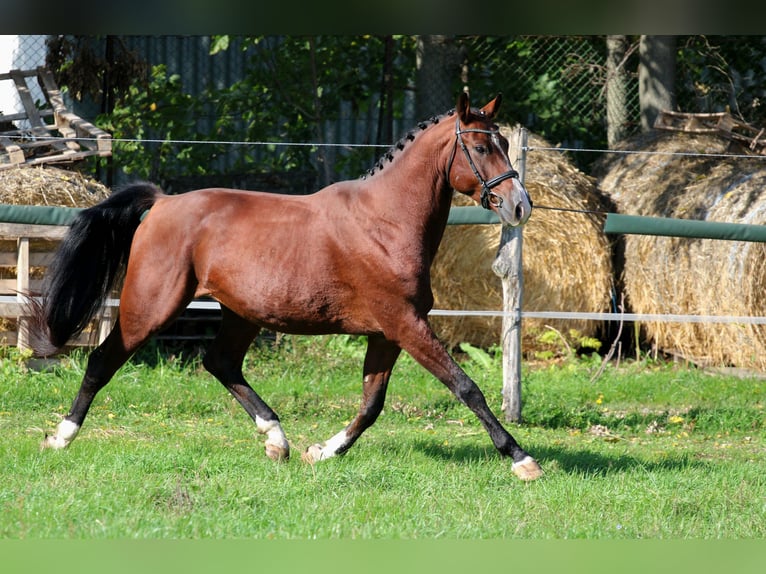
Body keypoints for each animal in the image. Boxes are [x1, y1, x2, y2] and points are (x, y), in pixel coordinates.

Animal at [30, 93, 544, 482]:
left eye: (504, 142)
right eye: (479, 147)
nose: (521, 205)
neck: (386, 222)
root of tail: (161, 203)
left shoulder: (387, 333)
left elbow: (372, 403)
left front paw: (323, 451)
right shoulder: (405, 324)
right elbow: (466, 387)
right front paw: (522, 459)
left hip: (240, 314)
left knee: (220, 363)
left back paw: (278, 441)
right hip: (151, 307)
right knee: (103, 360)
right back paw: (60, 436)